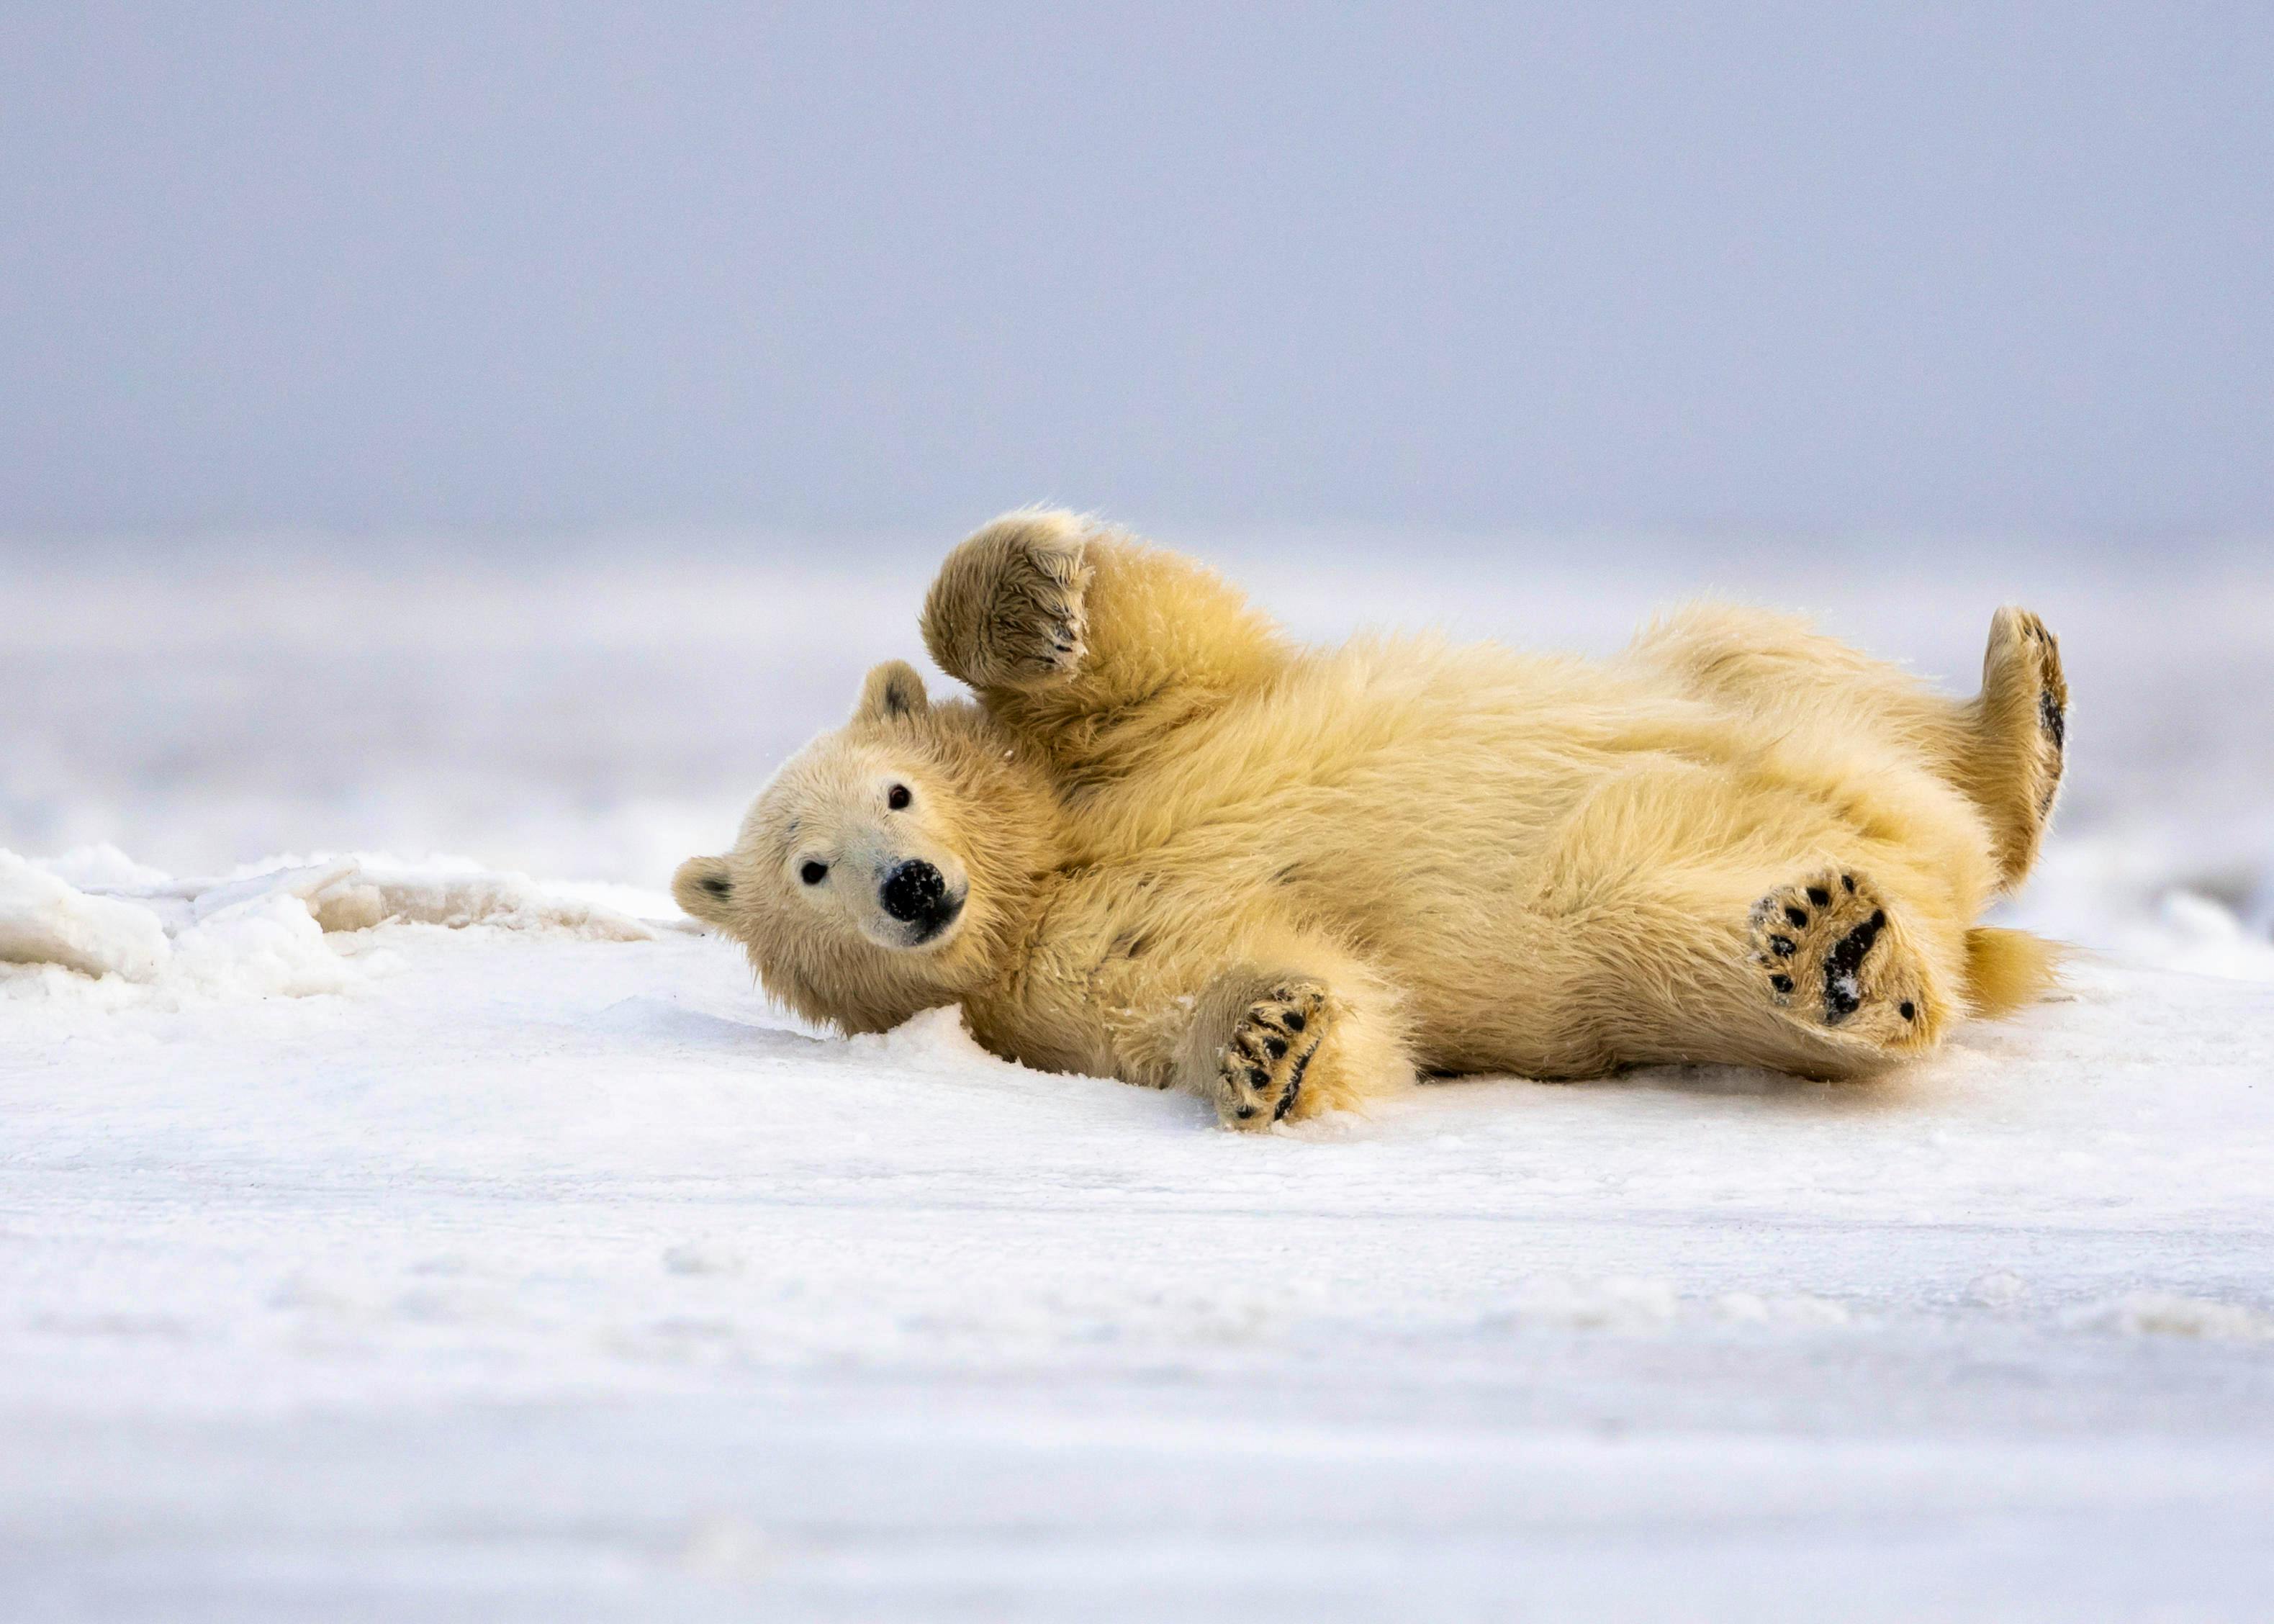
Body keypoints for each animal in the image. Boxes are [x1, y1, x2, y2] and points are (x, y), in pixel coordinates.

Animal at [674, 509, 2067, 1129]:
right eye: (809, 871)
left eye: (896, 792)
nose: (909, 886)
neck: (1044, 871)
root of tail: (1942, 876)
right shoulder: (1049, 983)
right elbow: (1231, 995)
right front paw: (1264, 1040)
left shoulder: (1123, 752)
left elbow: (1164, 645)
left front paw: (1032, 597)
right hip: (1632, 914)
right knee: (1672, 936)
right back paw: (1835, 954)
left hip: (1730, 687)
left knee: (1769, 652)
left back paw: (2020, 710)